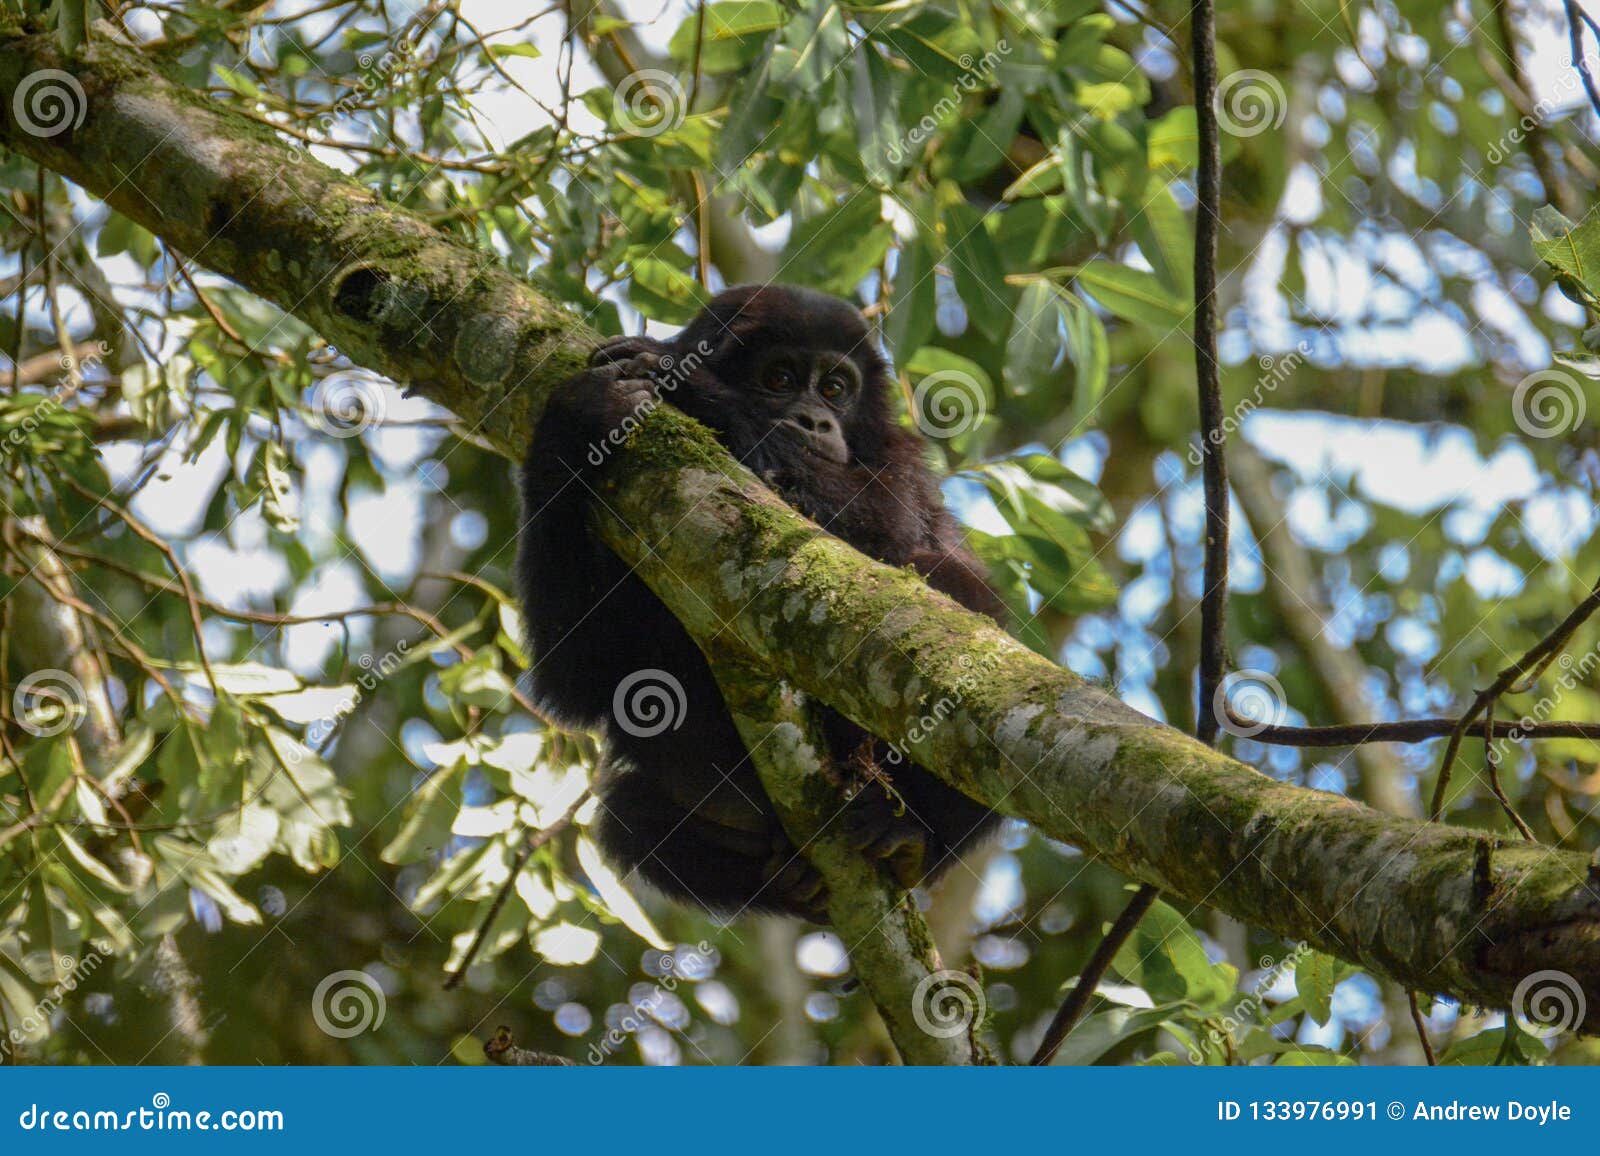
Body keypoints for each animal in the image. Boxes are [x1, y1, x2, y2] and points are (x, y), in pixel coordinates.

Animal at [524, 288, 998, 915]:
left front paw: (686, 382)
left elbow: (887, 533)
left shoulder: (901, 459)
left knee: (948, 585)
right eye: (779, 377)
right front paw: (577, 415)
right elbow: (583, 678)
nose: (815, 419)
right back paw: (785, 875)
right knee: (627, 815)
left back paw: (907, 832)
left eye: (836, 388)